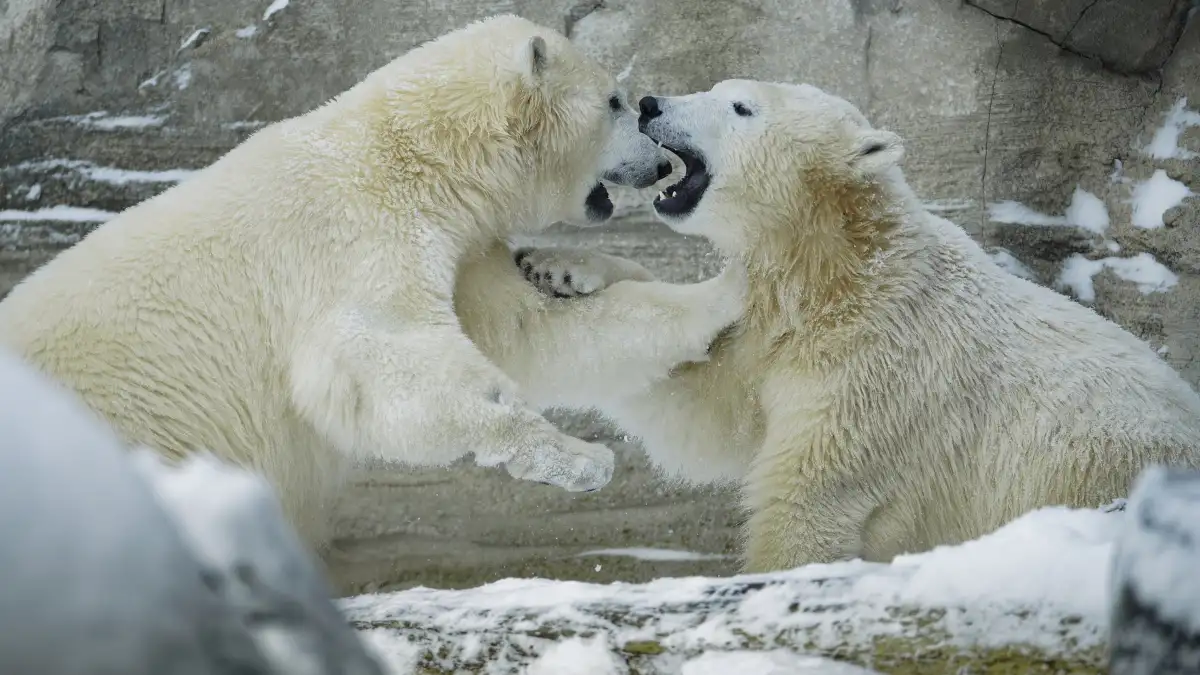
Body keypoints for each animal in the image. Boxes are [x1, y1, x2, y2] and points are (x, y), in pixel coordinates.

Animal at [0, 15, 746, 550]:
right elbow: (382, 362)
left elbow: (525, 331)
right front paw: (580, 456)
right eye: (614, 101)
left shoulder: (459, 247)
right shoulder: (354, 240)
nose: (659, 161)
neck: (414, 158)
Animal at [518, 79, 1200, 573]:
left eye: (740, 105)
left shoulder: (880, 361)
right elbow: (702, 403)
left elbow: (808, 497)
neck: (841, 267)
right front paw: (557, 268)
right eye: (715, 86)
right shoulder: (775, 338)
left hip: (1092, 464)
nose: (650, 103)